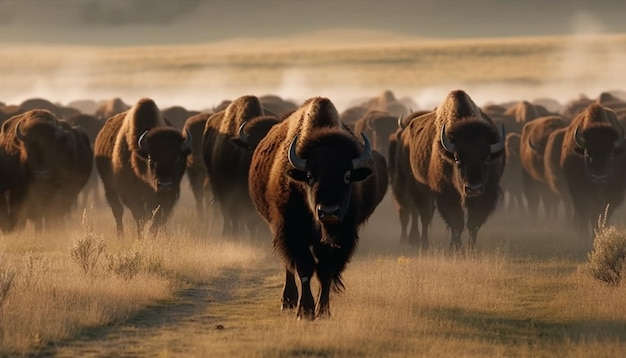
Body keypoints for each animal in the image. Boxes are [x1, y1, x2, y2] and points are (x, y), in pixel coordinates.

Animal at [92, 98, 190, 235]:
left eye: (178, 158)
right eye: (150, 158)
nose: (164, 184)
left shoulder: (169, 194)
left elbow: (159, 217)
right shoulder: (131, 193)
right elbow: (140, 216)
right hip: (109, 188)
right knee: (118, 212)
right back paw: (120, 235)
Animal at [249, 96, 386, 320]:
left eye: (347, 176)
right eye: (310, 176)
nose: (328, 211)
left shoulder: (342, 237)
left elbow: (325, 271)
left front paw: (323, 311)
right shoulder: (292, 231)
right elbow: (305, 267)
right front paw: (304, 310)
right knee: (289, 265)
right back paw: (288, 300)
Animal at [392, 89, 504, 252]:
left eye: (487, 157)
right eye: (457, 158)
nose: (473, 189)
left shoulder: (487, 194)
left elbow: (473, 224)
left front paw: (471, 250)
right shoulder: (445, 194)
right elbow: (456, 223)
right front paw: (457, 250)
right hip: (416, 187)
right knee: (422, 215)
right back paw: (422, 243)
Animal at [556, 102, 624, 236]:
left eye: (611, 155)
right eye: (587, 154)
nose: (599, 177)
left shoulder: (611, 198)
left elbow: (601, 217)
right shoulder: (580, 194)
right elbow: (587, 216)